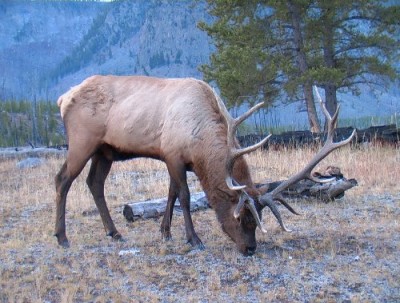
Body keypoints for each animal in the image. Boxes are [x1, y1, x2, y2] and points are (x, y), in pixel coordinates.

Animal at [54, 76, 354, 256]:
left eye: (259, 219)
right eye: (241, 217)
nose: (250, 249)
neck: (200, 145)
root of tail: (62, 98)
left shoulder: (173, 158)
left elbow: (171, 194)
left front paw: (165, 233)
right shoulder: (173, 155)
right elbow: (185, 197)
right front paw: (194, 239)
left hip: (105, 151)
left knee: (94, 183)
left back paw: (115, 233)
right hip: (82, 141)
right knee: (62, 179)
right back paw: (62, 237)